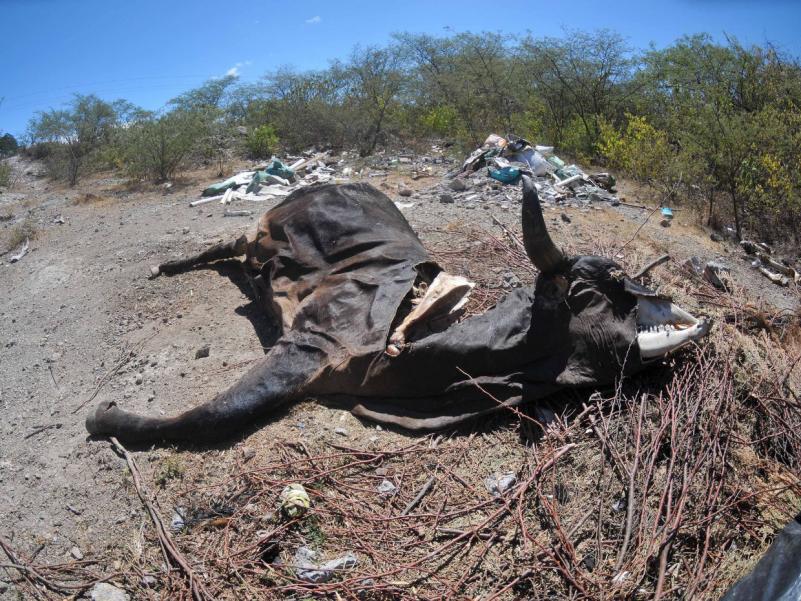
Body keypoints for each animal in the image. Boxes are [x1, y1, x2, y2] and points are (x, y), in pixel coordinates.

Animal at [86, 176, 710, 443]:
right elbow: (216, 413)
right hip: (260, 228)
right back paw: (169, 266)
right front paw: (106, 418)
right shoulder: (308, 347)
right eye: (603, 285)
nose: (652, 292)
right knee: (229, 245)